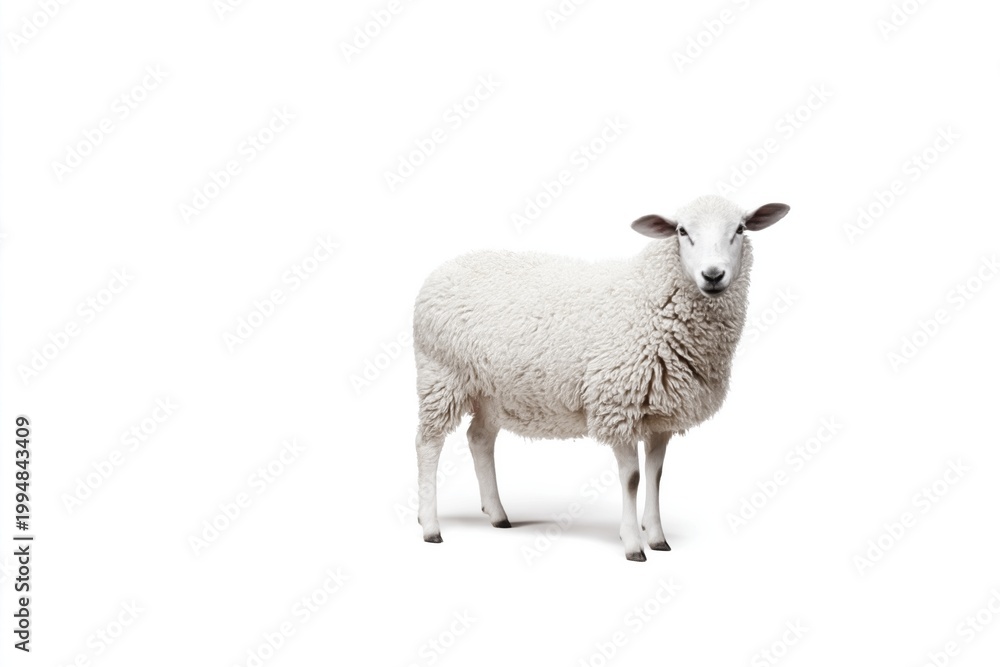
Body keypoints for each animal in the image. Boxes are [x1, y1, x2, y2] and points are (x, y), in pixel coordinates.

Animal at [412, 194, 790, 561]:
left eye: (740, 229)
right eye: (682, 231)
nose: (712, 275)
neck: (650, 297)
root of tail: (446, 267)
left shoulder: (660, 414)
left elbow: (655, 475)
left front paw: (657, 536)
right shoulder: (617, 404)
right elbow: (633, 479)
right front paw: (633, 544)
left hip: (492, 391)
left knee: (479, 439)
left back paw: (497, 514)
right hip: (441, 375)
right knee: (428, 444)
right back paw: (430, 525)